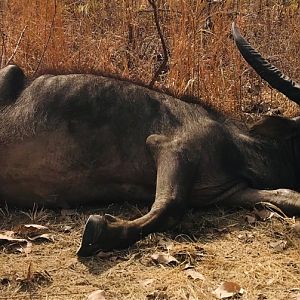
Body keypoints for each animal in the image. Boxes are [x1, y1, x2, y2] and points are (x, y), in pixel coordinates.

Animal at [0, 24, 298, 256]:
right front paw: (100, 232)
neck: (238, 146)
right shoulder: (170, 147)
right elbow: (170, 205)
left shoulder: (230, 191)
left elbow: (287, 196)